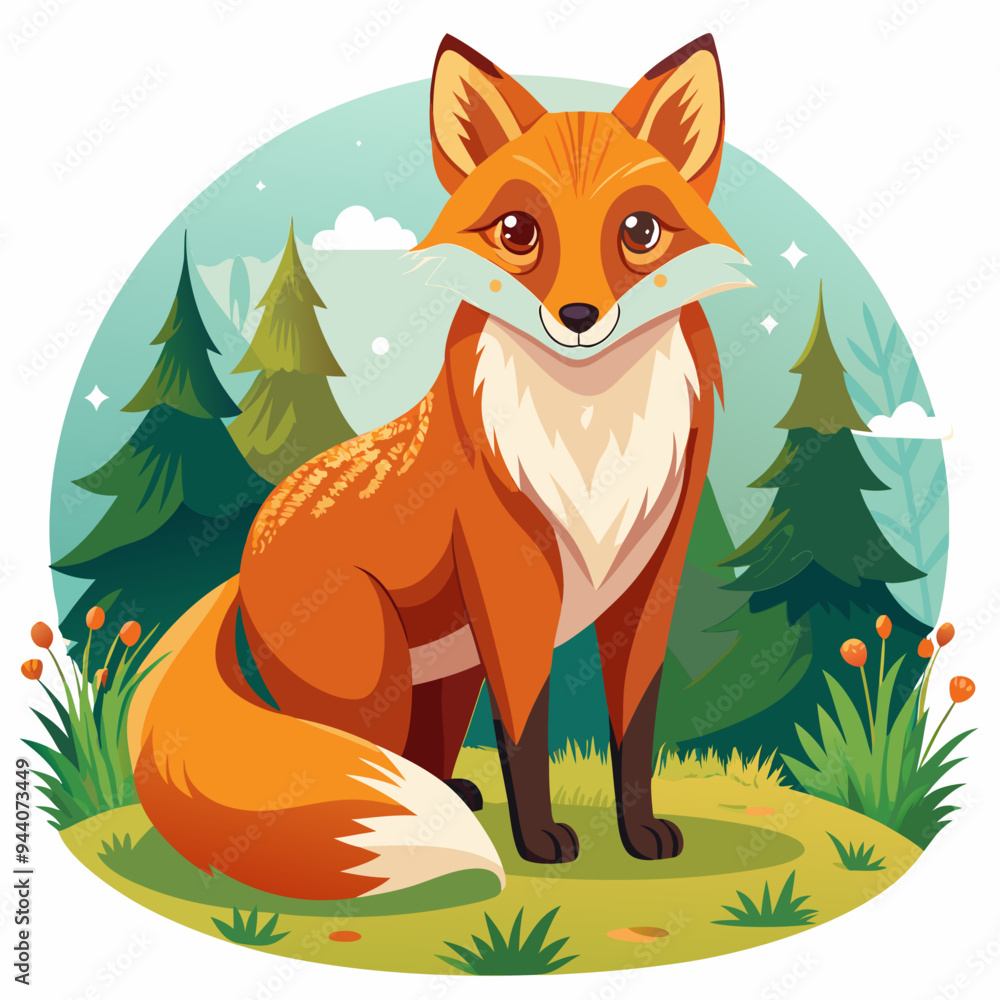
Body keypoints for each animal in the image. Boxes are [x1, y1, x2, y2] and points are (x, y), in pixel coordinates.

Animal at [127, 33, 750, 900]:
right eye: (518, 231)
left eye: (640, 231)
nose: (579, 317)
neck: (592, 433)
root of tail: (252, 540)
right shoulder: (514, 578)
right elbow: (527, 729)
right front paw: (540, 842)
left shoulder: (653, 574)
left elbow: (635, 726)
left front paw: (638, 835)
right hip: (371, 683)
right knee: (361, 761)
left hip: (446, 679)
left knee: (422, 756)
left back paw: (450, 794)